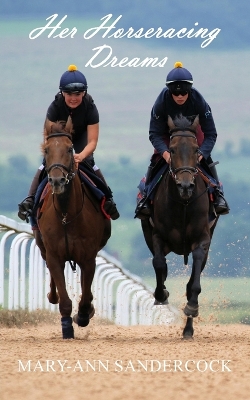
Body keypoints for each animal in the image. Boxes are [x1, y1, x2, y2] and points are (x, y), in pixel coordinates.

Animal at [34, 117, 111, 340]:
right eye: (46, 150)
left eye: (70, 149)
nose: (57, 180)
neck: (66, 215)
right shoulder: (54, 255)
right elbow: (64, 300)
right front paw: (67, 327)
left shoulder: (88, 257)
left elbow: (85, 296)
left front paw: (83, 315)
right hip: (42, 245)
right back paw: (52, 296)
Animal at [142, 114, 220, 340]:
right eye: (173, 149)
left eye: (196, 149)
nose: (185, 186)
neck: (183, 204)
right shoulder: (157, 235)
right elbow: (159, 264)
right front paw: (162, 294)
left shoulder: (202, 239)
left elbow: (193, 283)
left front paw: (192, 307)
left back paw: (188, 329)